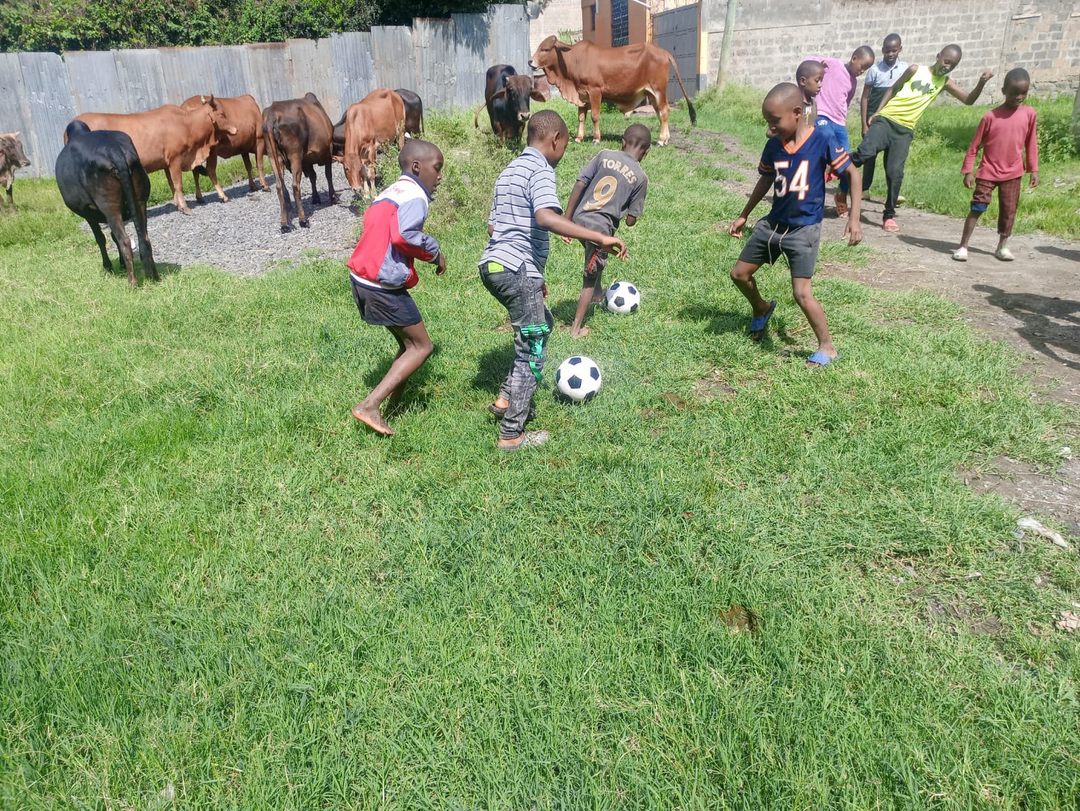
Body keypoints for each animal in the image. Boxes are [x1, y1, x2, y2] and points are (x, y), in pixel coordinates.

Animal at [55, 121, 157, 287]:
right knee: (144, 238)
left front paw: (108, 267)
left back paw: (132, 283)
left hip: (109, 207)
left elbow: (101, 238)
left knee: (125, 241)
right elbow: (112, 236)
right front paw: (121, 264)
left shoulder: (88, 213)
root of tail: (114, 150)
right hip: (141, 200)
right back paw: (153, 277)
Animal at [75, 97, 237, 214]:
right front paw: (185, 208)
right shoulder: (175, 159)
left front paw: (179, 205)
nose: (235, 129)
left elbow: (172, 184)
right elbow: (178, 184)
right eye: (222, 114)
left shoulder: (166, 163)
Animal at [262, 93, 337, 232]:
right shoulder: (328, 151)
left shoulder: (306, 160)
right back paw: (303, 220)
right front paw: (333, 198)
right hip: (294, 154)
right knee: (295, 186)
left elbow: (313, 176)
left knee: (279, 186)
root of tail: (272, 115)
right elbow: (328, 175)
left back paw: (284, 224)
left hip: (273, 157)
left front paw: (315, 197)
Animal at [529, 36, 696, 146]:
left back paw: (661, 140)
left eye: (545, 49)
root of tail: (664, 52)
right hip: (651, 93)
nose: (530, 61)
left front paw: (596, 139)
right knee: (660, 113)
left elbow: (595, 116)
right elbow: (581, 118)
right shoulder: (581, 95)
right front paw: (578, 137)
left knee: (664, 112)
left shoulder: (595, 91)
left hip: (659, 90)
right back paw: (666, 138)